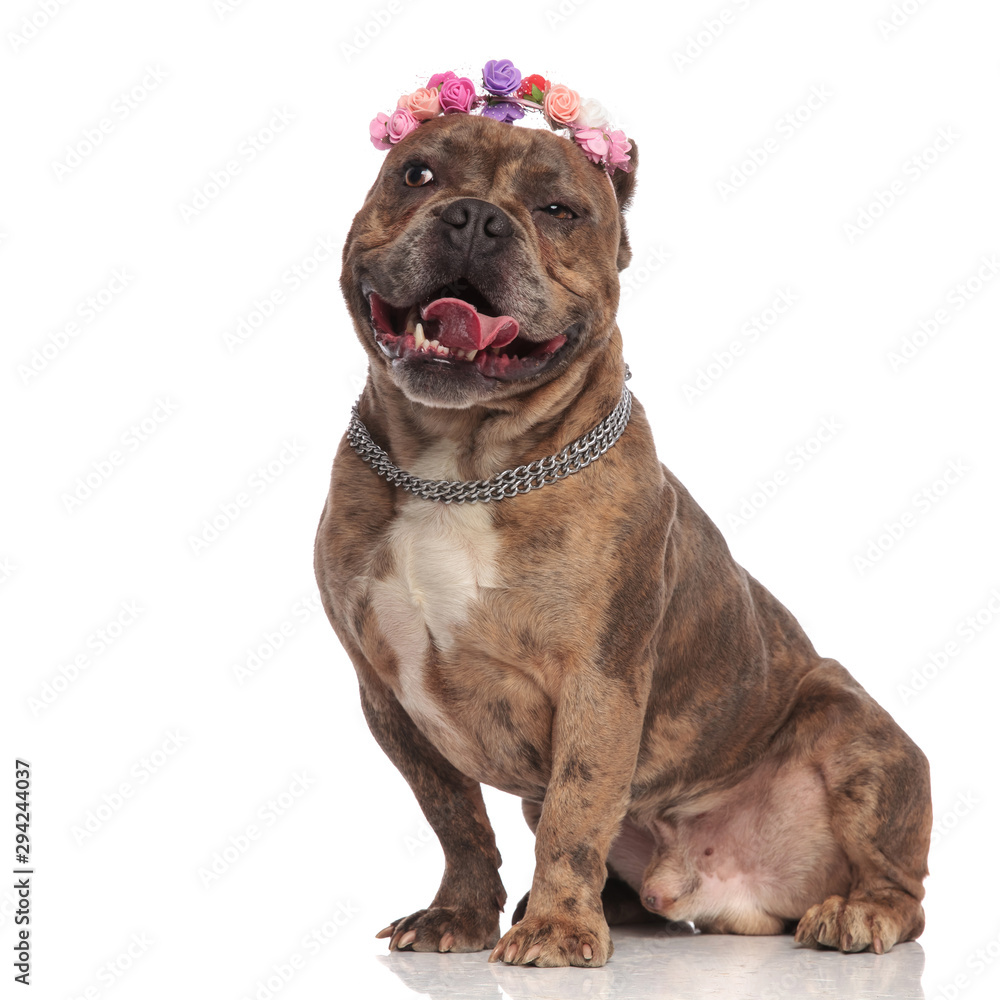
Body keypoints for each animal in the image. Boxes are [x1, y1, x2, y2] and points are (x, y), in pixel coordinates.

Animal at [312, 109, 928, 968]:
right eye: (418, 175)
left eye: (559, 211)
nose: (475, 218)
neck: (460, 465)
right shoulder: (389, 695)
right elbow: (455, 818)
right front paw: (461, 913)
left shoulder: (599, 682)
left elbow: (577, 809)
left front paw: (558, 931)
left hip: (854, 730)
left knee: (902, 885)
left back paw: (859, 913)